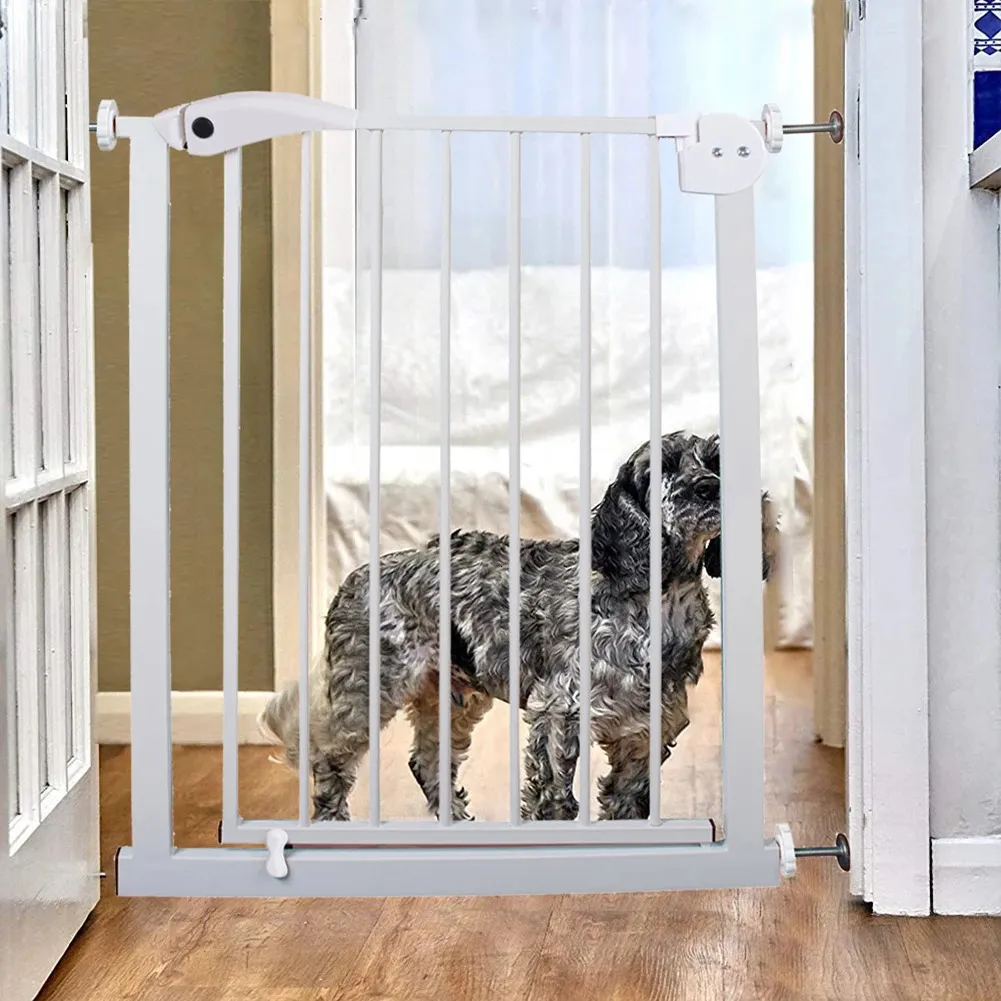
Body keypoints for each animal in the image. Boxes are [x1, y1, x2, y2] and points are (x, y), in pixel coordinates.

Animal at [258, 430, 772, 820]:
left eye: (715, 462)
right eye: (662, 468)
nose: (709, 487)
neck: (656, 600)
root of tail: (353, 577)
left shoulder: (647, 728)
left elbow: (629, 801)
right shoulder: (559, 712)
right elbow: (554, 800)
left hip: (452, 699)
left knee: (426, 762)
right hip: (367, 689)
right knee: (328, 759)